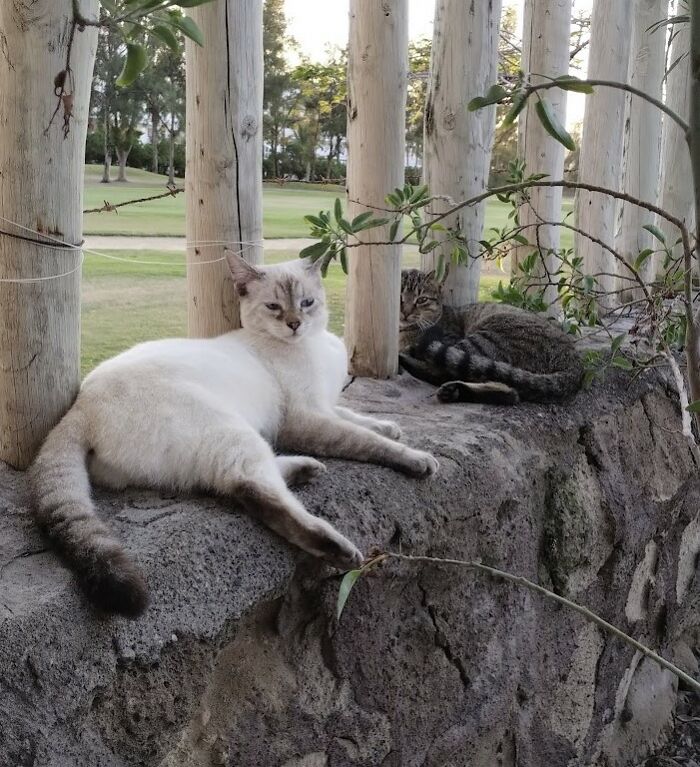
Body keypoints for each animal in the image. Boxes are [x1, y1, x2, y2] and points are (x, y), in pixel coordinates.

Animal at [32, 256, 440, 616]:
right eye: (274, 307)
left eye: (307, 303)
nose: (295, 324)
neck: (312, 344)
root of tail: (79, 407)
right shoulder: (307, 419)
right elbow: (366, 440)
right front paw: (417, 458)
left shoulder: (324, 406)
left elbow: (360, 420)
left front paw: (389, 425)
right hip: (230, 430)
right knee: (254, 490)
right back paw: (337, 547)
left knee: (234, 482)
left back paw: (306, 470)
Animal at [400, 270, 584, 404]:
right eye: (399, 298)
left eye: (421, 300)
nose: (405, 312)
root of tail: (574, 361)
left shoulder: (448, 339)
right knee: (510, 392)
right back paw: (455, 392)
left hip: (483, 339)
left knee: (440, 370)